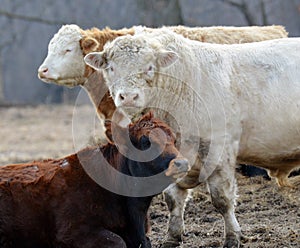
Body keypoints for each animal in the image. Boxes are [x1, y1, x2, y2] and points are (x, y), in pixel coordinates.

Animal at [84, 28, 300, 247]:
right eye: (111, 67)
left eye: (149, 67)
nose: (128, 96)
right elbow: (172, 198)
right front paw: (172, 237)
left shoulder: (218, 149)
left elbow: (222, 198)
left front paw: (232, 236)